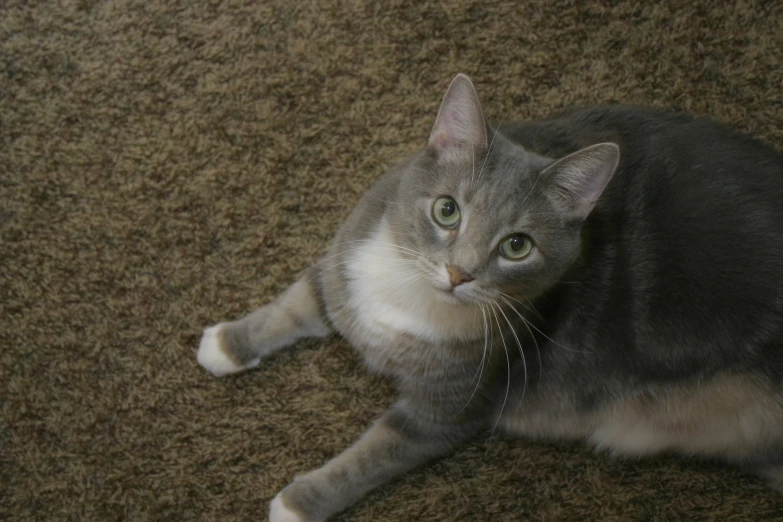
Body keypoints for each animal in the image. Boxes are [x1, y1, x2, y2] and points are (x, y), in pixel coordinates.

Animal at [198, 74, 783, 520]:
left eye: (516, 245)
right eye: (447, 210)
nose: (459, 272)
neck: (413, 300)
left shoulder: (447, 410)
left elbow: (374, 455)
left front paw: (298, 502)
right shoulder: (346, 267)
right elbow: (294, 304)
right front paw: (228, 343)